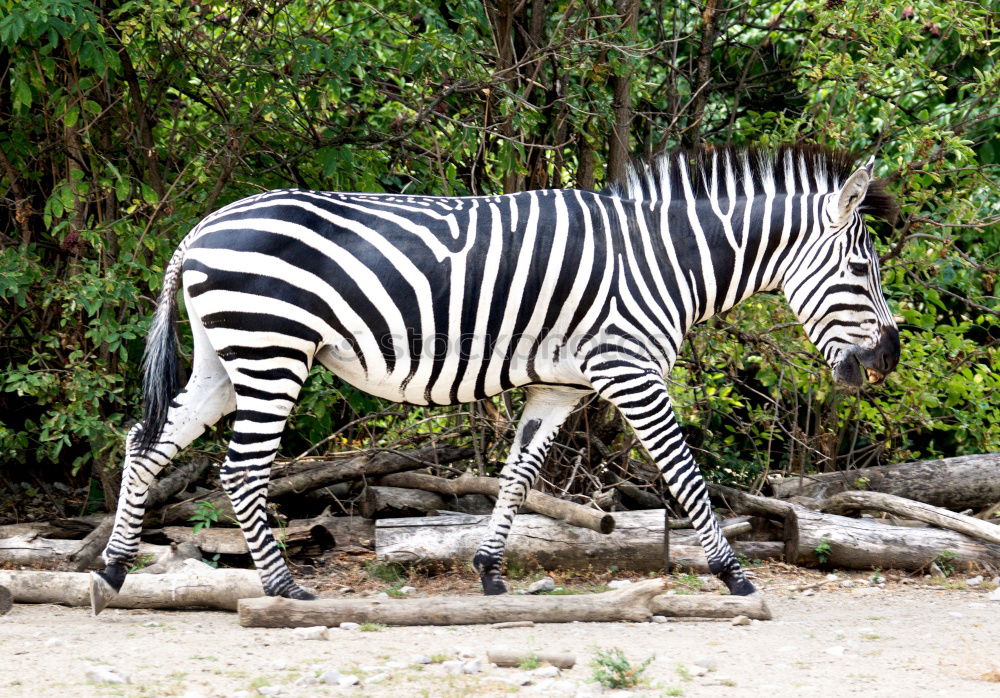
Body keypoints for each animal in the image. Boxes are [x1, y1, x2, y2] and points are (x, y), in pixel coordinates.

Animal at [90, 144, 900, 612]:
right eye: (862, 269)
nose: (888, 358)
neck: (664, 260)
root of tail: (202, 227)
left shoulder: (561, 385)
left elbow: (518, 475)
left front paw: (488, 571)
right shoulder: (630, 368)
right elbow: (685, 475)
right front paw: (734, 576)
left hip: (224, 357)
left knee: (144, 443)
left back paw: (113, 570)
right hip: (271, 349)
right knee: (240, 470)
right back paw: (283, 588)